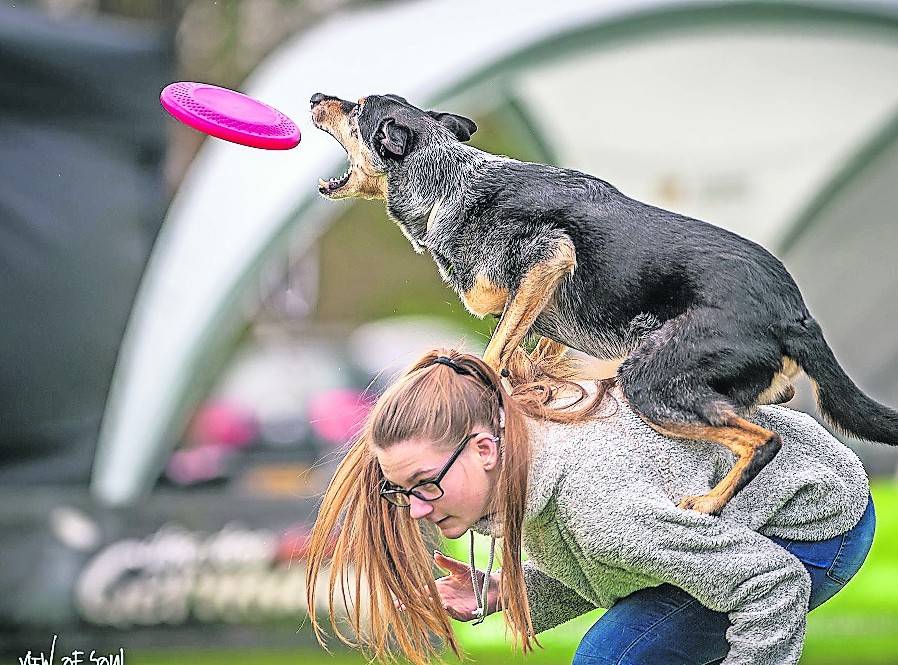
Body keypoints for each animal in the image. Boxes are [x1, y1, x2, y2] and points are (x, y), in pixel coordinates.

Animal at [310, 91, 896, 512]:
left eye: (357, 107)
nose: (316, 95)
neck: (449, 179)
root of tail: (794, 313)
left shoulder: (550, 256)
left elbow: (497, 349)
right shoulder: (543, 304)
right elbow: (524, 349)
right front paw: (535, 387)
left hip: (652, 379)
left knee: (761, 439)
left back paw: (708, 504)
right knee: (771, 407)